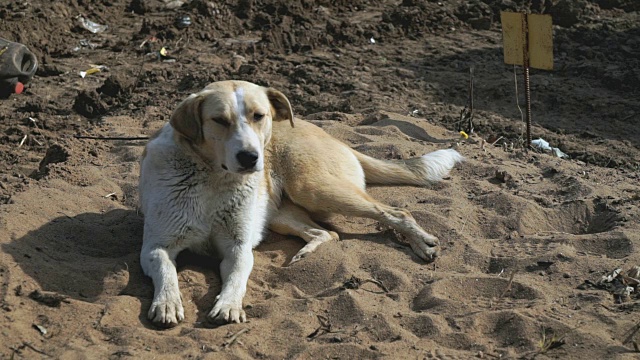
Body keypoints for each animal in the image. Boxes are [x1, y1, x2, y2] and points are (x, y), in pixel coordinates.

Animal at [138, 80, 462, 328]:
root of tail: (336, 139)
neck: (213, 178)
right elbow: (167, 272)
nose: (250, 157)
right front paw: (167, 304)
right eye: (219, 120)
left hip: (312, 188)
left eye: (259, 116)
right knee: (327, 232)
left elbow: (237, 279)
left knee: (395, 212)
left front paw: (228, 305)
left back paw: (422, 243)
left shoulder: (237, 248)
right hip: (280, 212)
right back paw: (306, 254)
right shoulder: (155, 247)